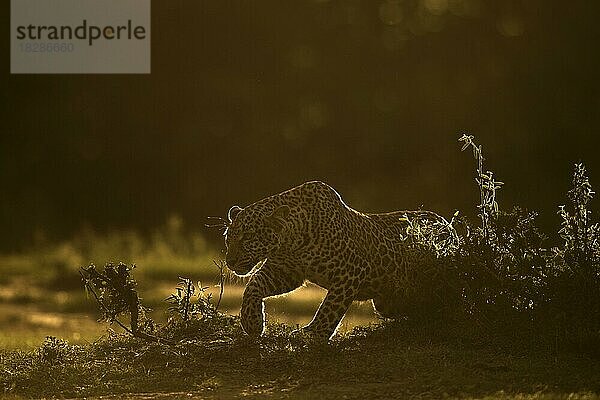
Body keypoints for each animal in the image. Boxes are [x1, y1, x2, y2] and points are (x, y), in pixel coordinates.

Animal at [223, 181, 458, 340]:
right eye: (228, 238)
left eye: (247, 237)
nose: (230, 262)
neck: (290, 242)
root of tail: (448, 224)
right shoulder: (285, 271)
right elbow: (253, 286)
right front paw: (251, 322)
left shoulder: (351, 271)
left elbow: (330, 307)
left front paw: (313, 334)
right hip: (385, 303)